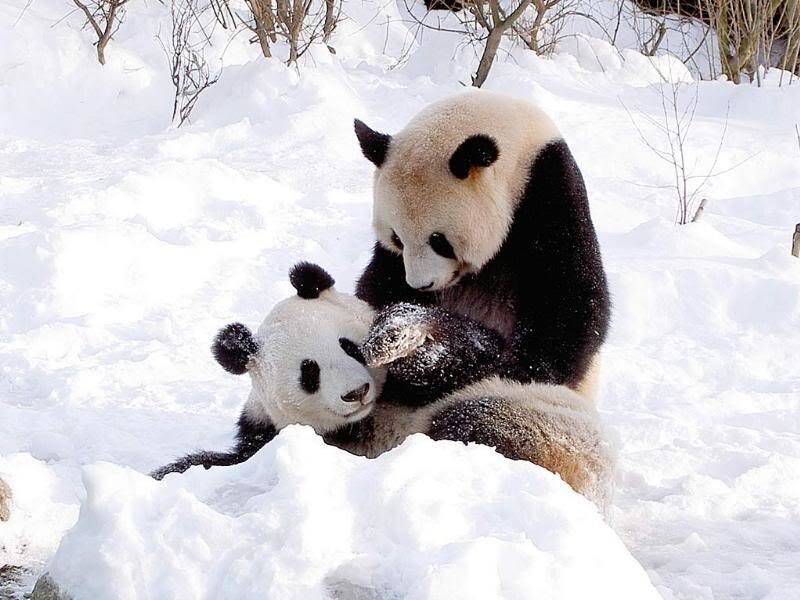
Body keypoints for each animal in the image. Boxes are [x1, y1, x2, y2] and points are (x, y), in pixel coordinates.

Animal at [151, 263, 613, 504]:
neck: (367, 418)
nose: (356, 393)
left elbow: (489, 356)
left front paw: (407, 338)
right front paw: (168, 476)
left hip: (551, 426)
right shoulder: (269, 430)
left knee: (471, 418)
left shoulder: (485, 374)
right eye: (309, 372)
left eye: (350, 347)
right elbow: (230, 460)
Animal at [353, 90, 611, 402]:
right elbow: (374, 288)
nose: (420, 286)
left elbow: (568, 314)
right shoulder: (390, 261)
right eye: (397, 239)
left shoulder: (550, 195)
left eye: (439, 241)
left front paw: (431, 351)